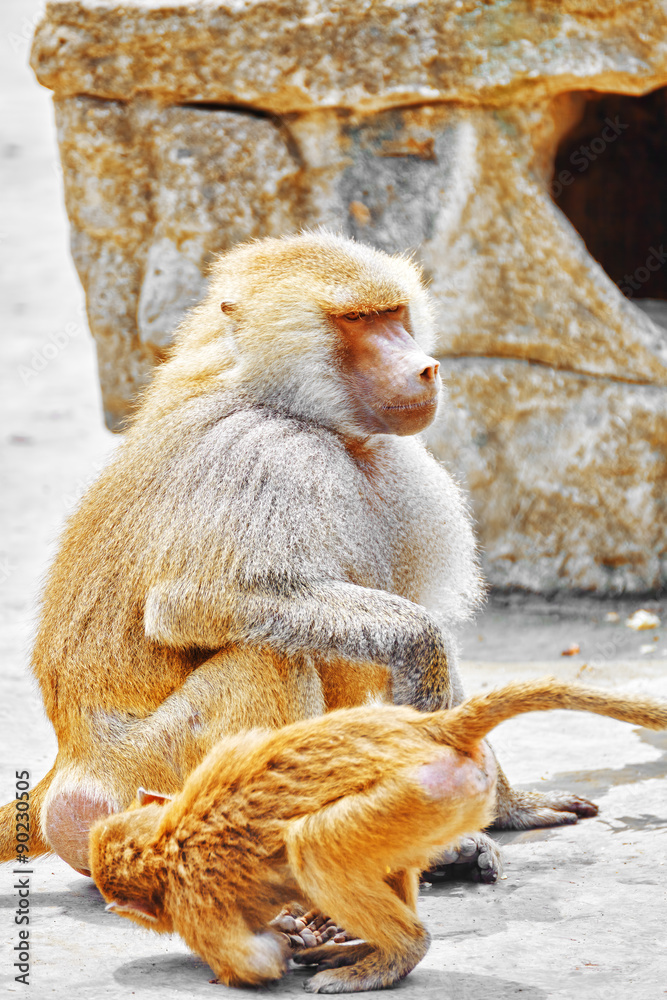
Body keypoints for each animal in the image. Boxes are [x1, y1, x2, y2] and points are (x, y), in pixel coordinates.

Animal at [0, 231, 598, 880]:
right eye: (356, 320)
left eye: (394, 313)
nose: (425, 368)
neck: (294, 409)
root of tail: (71, 763)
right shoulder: (265, 456)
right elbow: (196, 603)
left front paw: (508, 805)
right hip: (148, 766)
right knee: (273, 656)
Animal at [90, 677, 667, 994]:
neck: (166, 837)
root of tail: (428, 728)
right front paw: (297, 928)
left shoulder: (192, 905)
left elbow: (255, 962)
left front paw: (287, 939)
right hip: (440, 798)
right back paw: (367, 947)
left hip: (421, 790)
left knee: (313, 847)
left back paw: (397, 952)